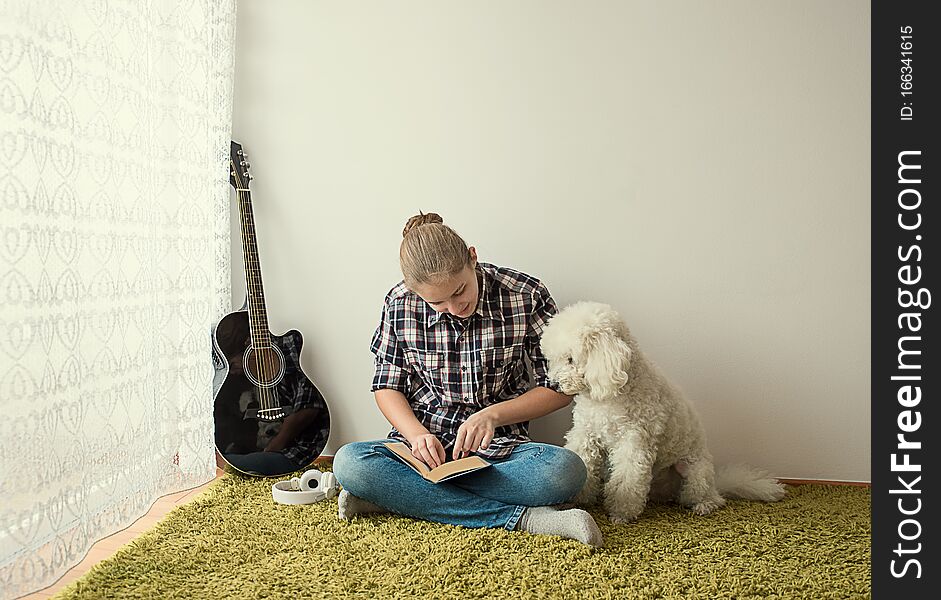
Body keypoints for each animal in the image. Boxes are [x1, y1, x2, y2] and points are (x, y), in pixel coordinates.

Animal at [540, 302, 784, 524]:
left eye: (570, 359)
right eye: (553, 358)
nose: (554, 385)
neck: (610, 394)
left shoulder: (634, 443)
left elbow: (627, 479)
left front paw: (621, 514)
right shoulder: (586, 433)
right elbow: (585, 463)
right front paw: (577, 499)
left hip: (695, 472)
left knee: (708, 496)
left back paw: (704, 505)